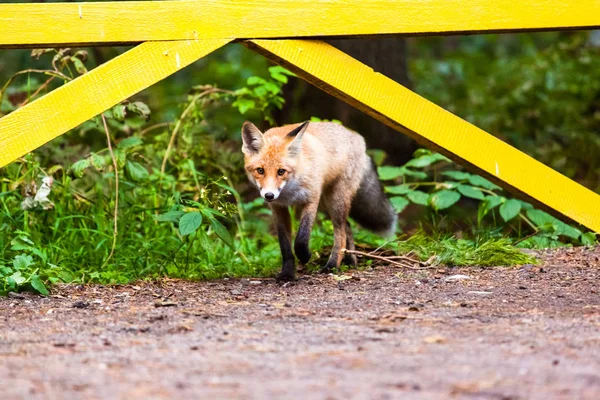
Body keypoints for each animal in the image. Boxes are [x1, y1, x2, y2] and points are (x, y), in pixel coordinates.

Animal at [241, 120, 396, 280]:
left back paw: (332, 265)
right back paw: (350, 261)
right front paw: (287, 273)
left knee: (340, 235)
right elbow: (285, 246)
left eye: (281, 171)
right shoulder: (279, 207)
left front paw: (305, 256)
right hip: (326, 205)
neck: (289, 191)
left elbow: (301, 238)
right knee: (347, 228)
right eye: (260, 170)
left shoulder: (311, 199)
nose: (269, 195)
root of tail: (357, 137)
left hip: (336, 200)